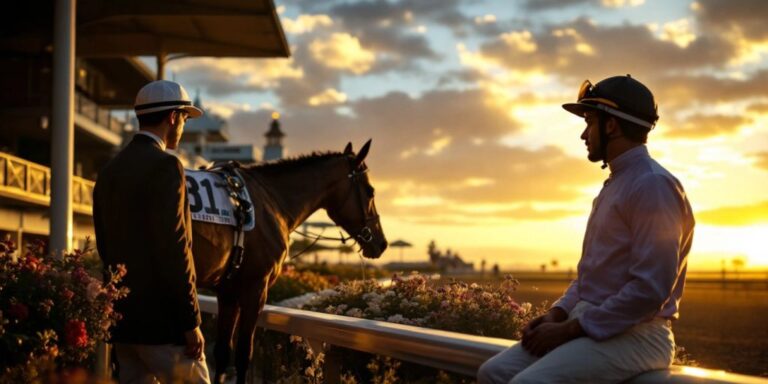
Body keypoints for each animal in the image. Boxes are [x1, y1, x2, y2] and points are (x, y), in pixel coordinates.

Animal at [190, 141, 388, 384]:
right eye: (370, 191)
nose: (382, 243)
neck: (269, 202)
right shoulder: (255, 288)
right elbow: (244, 354)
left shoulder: (228, 291)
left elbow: (222, 353)